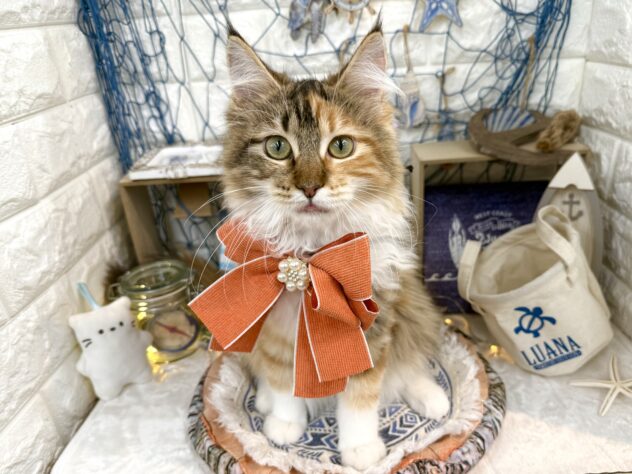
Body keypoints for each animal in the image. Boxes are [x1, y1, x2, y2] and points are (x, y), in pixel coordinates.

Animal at [218, 21, 449, 470]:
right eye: (277, 147)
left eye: (341, 146)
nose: (309, 187)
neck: (311, 262)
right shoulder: (273, 329)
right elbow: (282, 380)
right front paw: (284, 427)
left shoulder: (373, 327)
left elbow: (361, 396)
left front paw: (360, 450)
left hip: (412, 308)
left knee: (409, 364)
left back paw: (434, 398)